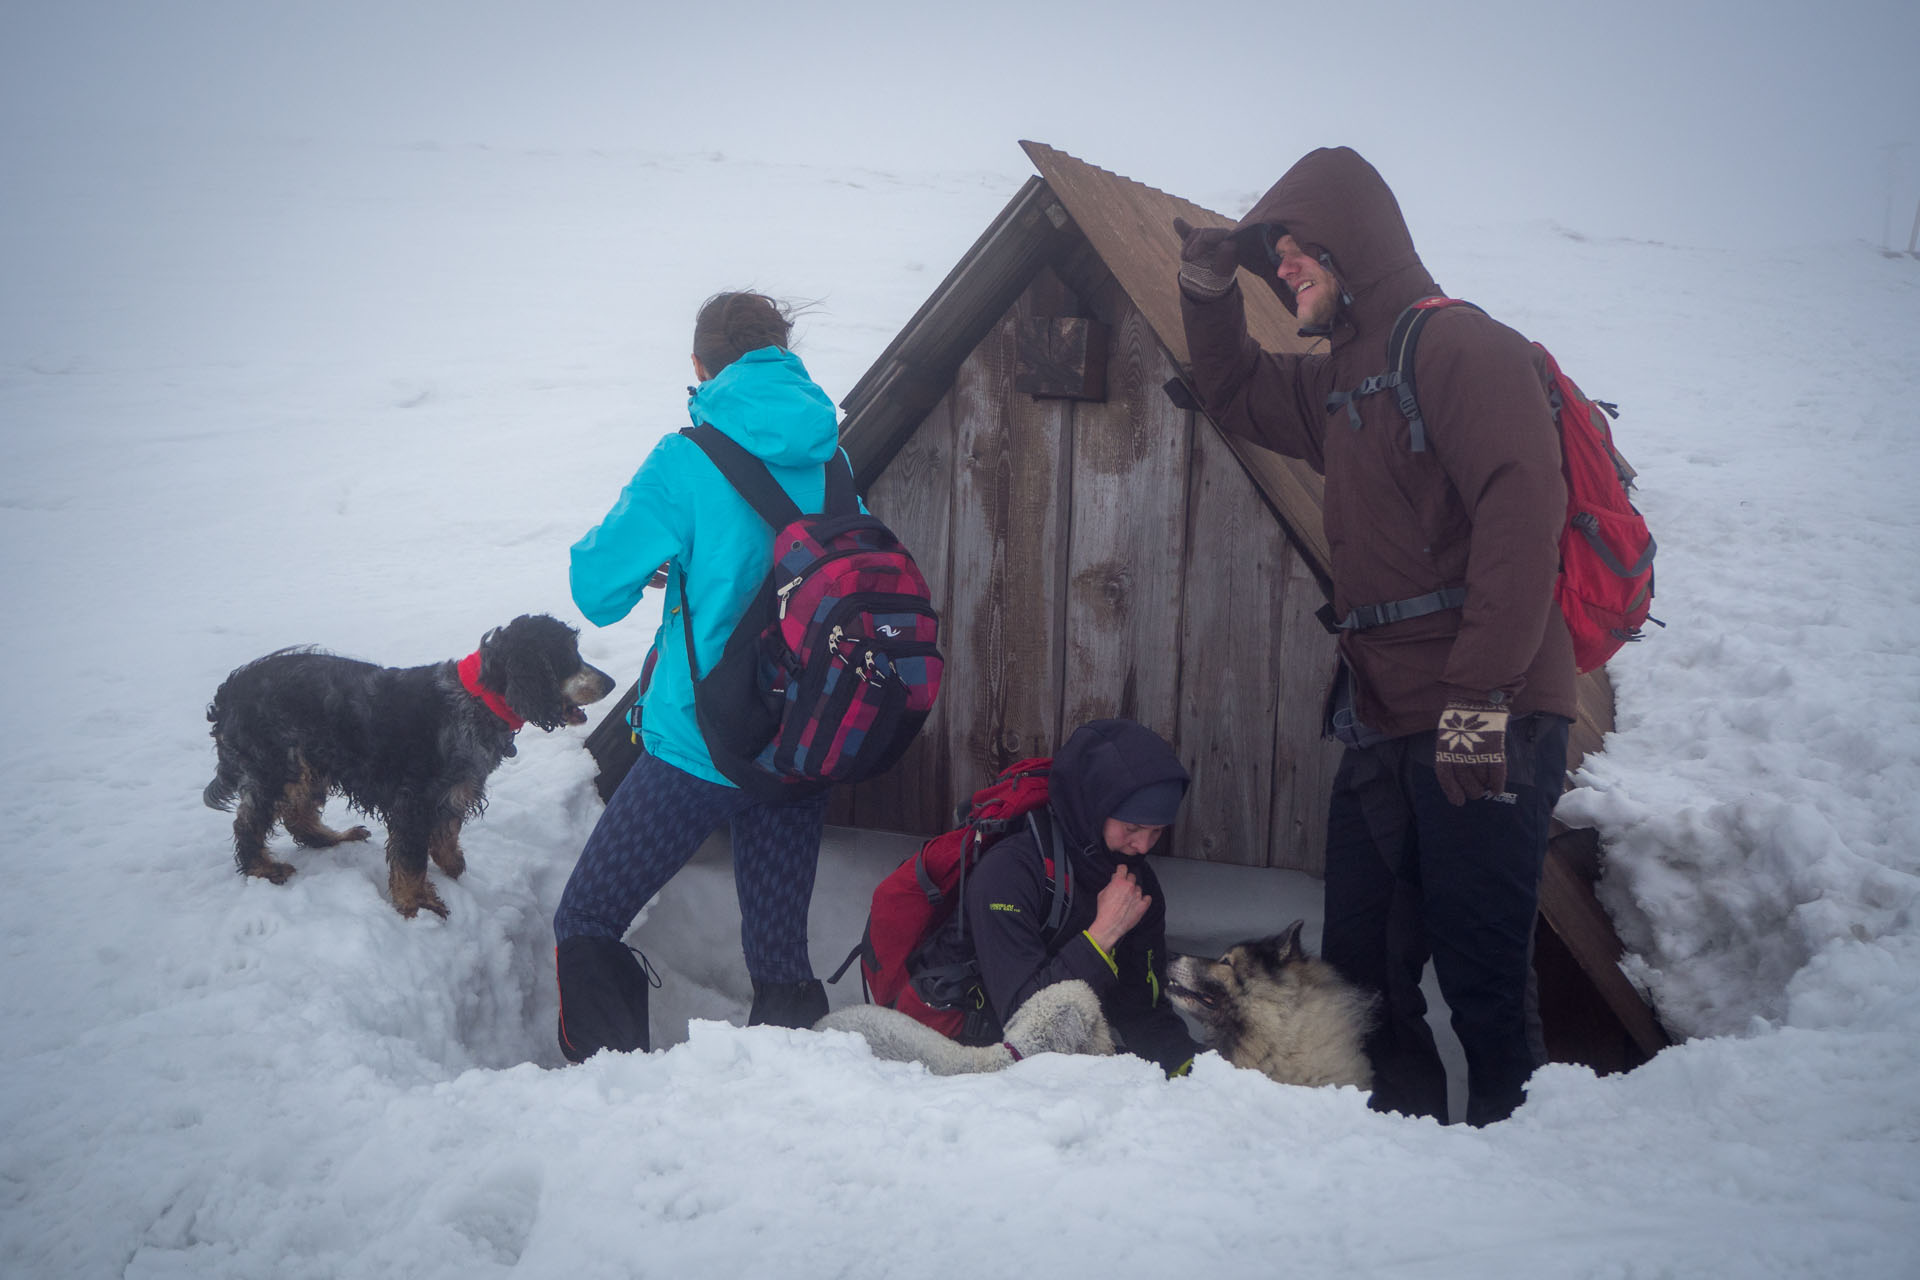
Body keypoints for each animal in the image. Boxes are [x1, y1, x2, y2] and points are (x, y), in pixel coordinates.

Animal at [203, 614, 610, 917]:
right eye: (568, 656)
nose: (610, 682)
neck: (476, 701)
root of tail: (229, 691)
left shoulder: (454, 792)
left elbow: (447, 835)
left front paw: (453, 868)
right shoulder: (414, 800)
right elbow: (412, 860)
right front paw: (418, 903)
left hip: (309, 763)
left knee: (298, 815)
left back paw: (332, 838)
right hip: (274, 765)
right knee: (249, 823)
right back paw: (263, 868)